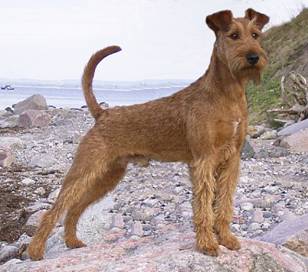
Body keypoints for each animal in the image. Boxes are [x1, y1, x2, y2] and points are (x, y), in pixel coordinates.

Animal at [28, 8, 270, 260]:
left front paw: (226, 239)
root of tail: (102, 114)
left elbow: (224, 204)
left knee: (75, 208)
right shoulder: (204, 160)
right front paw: (207, 244)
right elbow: (204, 206)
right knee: (54, 210)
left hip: (108, 175)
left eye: (255, 34)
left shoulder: (231, 161)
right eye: (233, 35)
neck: (227, 95)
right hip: (85, 169)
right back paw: (35, 251)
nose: (254, 57)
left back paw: (72, 241)